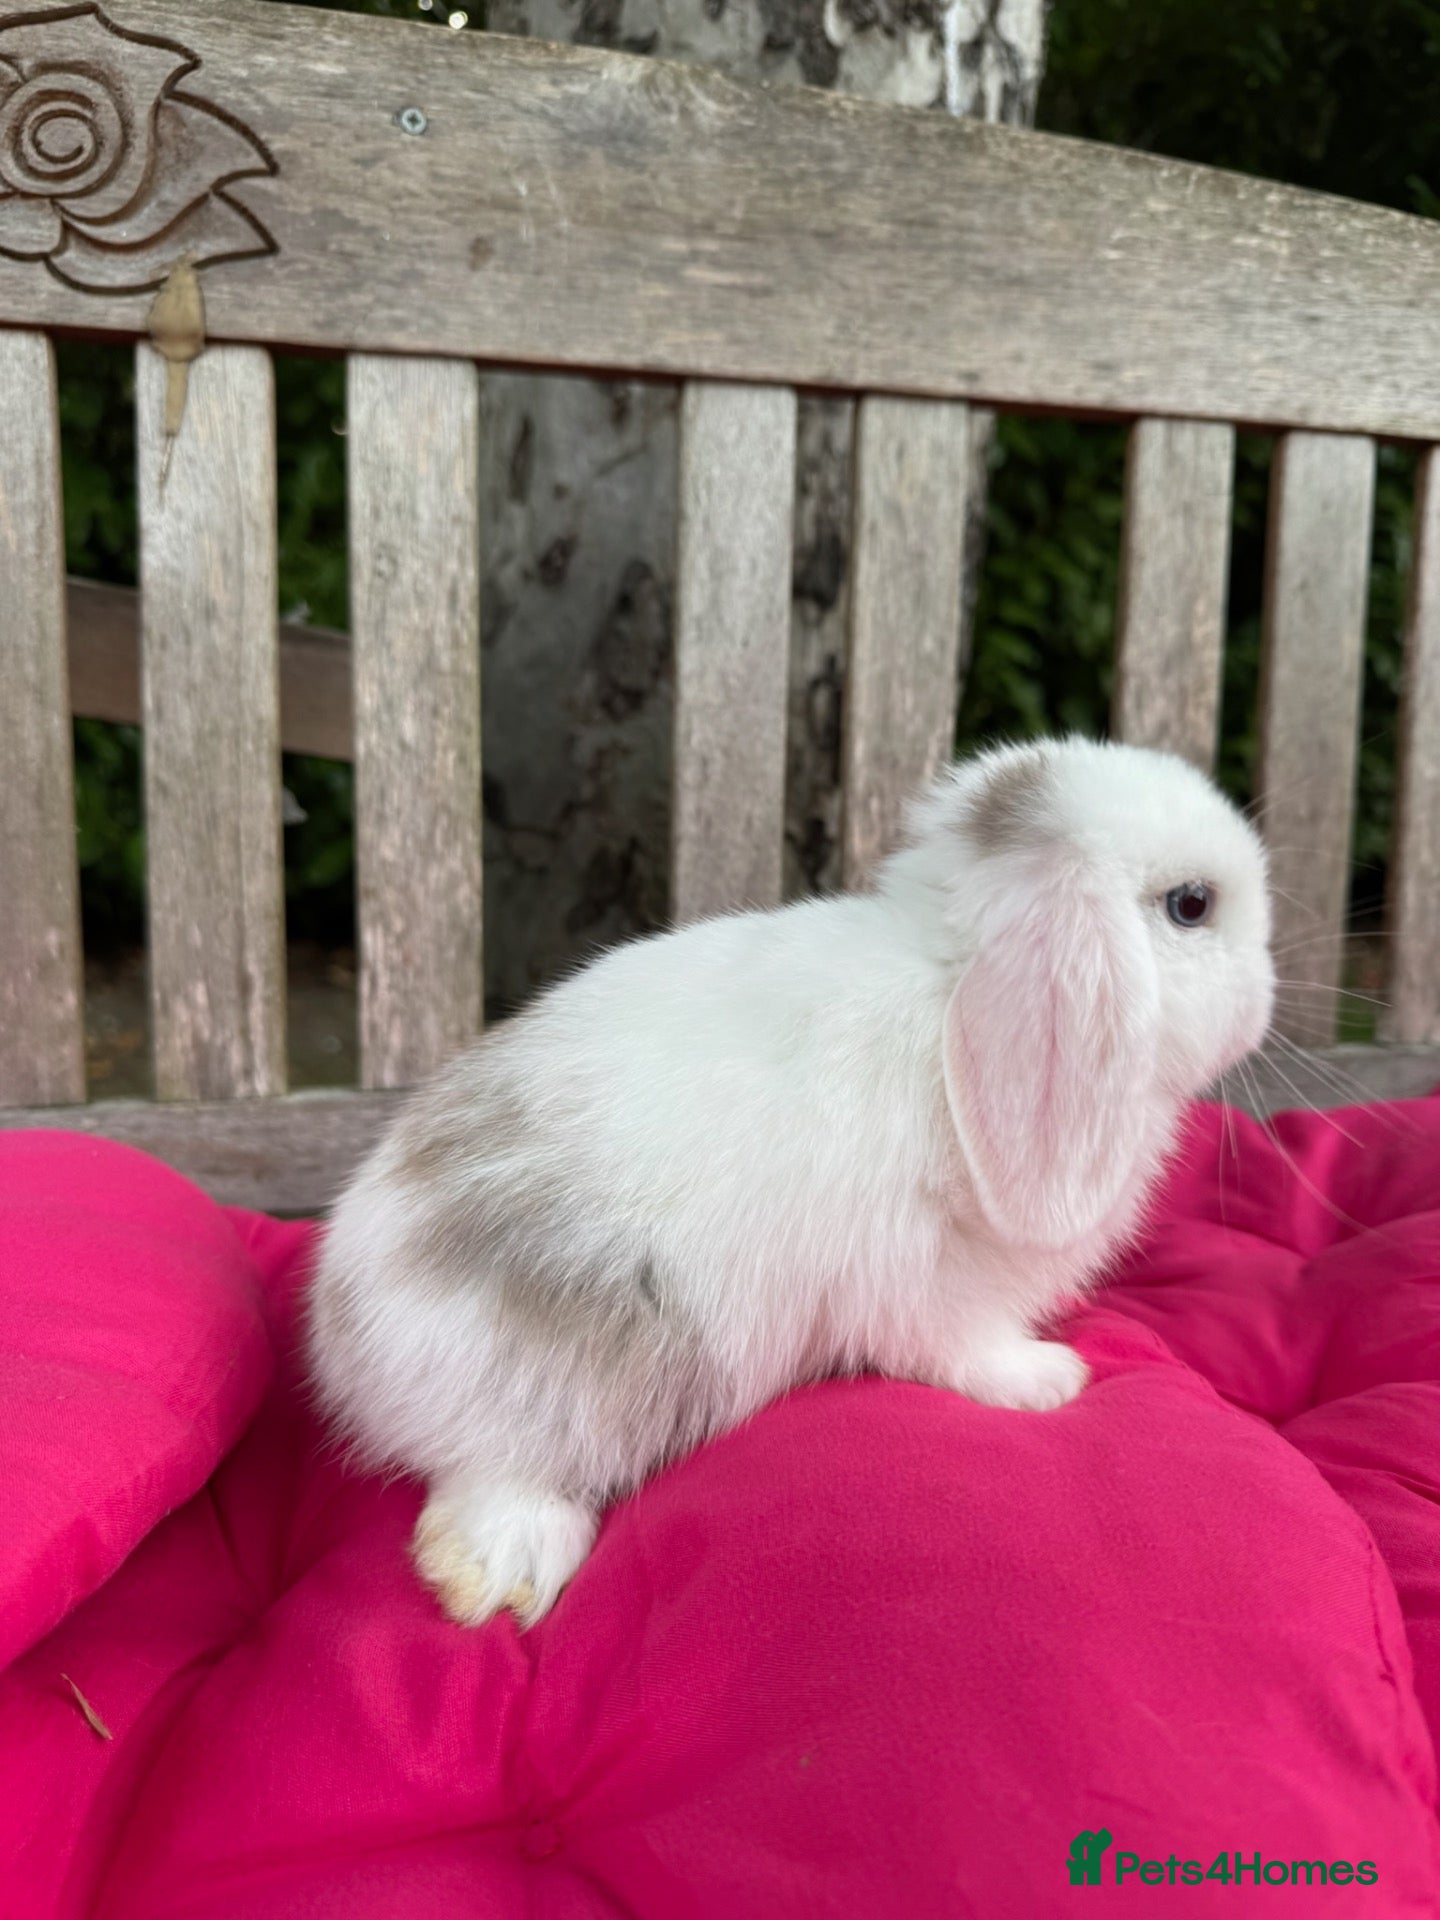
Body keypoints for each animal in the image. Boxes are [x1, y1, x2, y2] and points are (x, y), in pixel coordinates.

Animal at [308, 736, 1274, 1629]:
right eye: (1192, 906)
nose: (1264, 998)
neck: (951, 989)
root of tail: (346, 1349)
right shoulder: (927, 1278)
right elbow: (962, 1346)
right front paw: (1049, 1381)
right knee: (491, 1473)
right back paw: (501, 1576)